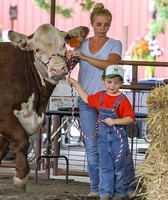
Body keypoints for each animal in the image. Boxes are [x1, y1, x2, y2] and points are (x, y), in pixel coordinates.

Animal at [0, 23, 89, 191]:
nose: (58, 69)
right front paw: (21, 177)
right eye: (37, 50)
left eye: (63, 45)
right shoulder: (5, 117)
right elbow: (22, 140)